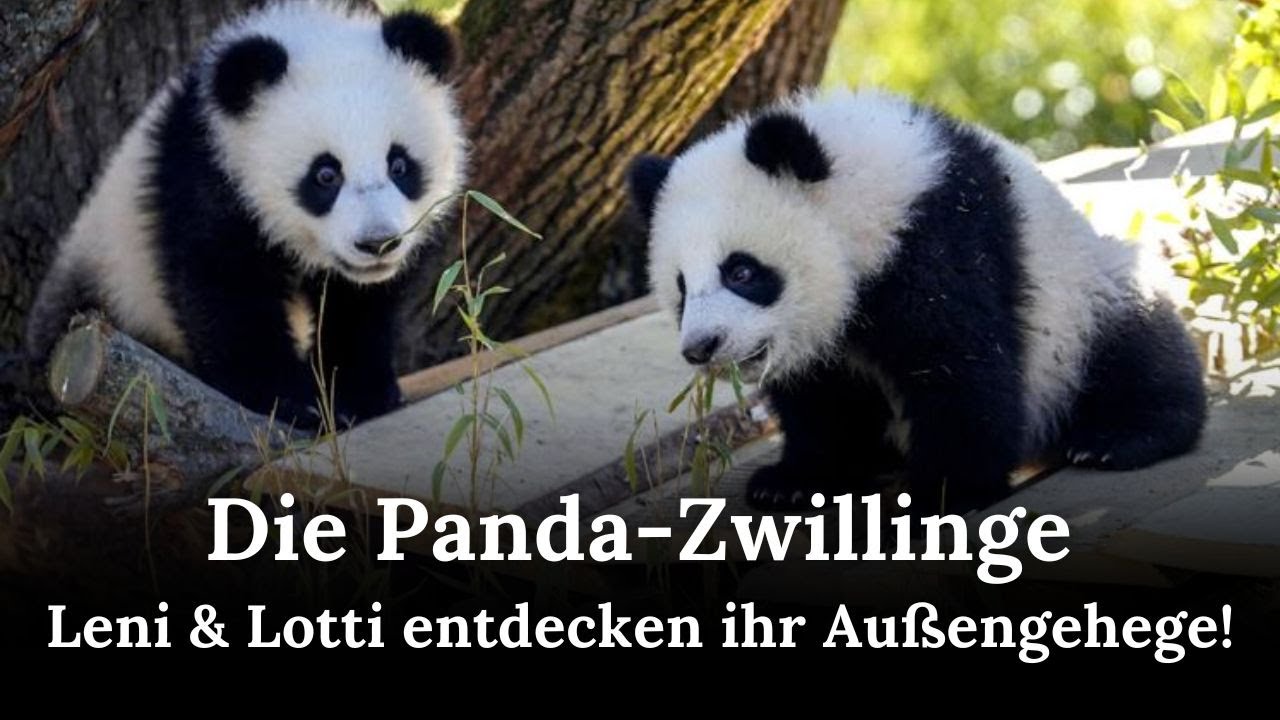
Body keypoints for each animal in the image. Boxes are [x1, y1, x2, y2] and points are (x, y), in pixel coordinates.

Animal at [26, 1, 465, 427]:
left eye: (399, 165)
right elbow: (226, 291)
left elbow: (362, 308)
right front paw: (292, 402)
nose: (377, 243)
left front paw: (361, 394)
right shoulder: (206, 177)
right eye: (325, 174)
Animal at [628, 89, 1207, 514]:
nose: (702, 346)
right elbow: (822, 396)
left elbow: (959, 364)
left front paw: (945, 489)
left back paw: (1116, 437)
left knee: (1138, 348)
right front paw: (793, 480)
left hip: (1086, 297)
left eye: (742, 270)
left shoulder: (938, 237)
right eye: (681, 287)